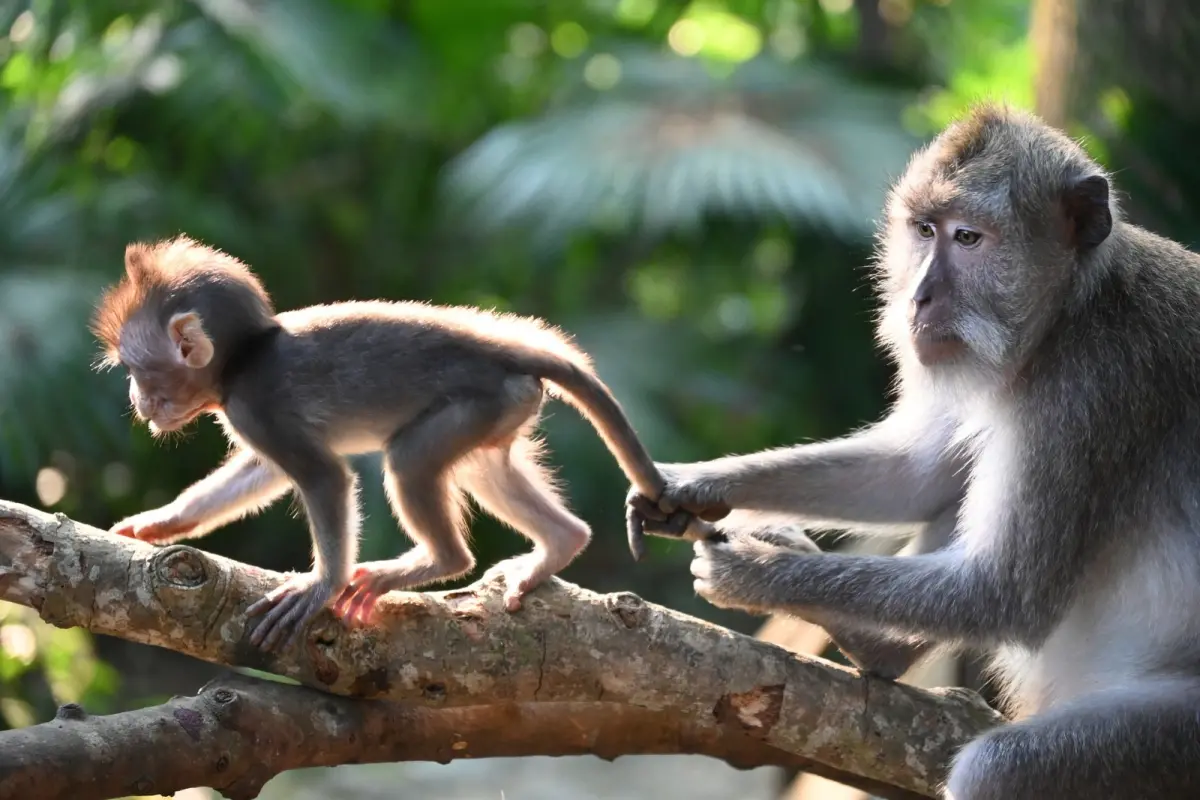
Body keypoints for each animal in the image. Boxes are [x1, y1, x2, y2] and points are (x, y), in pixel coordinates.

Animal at [93, 236, 700, 652]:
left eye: (139, 371)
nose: (135, 398)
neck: (241, 361)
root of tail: (500, 347)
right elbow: (261, 473)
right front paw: (161, 522)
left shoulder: (255, 407)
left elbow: (323, 477)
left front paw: (322, 585)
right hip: (505, 404)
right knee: (484, 469)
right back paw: (559, 544)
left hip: (474, 402)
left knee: (409, 462)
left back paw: (435, 560)